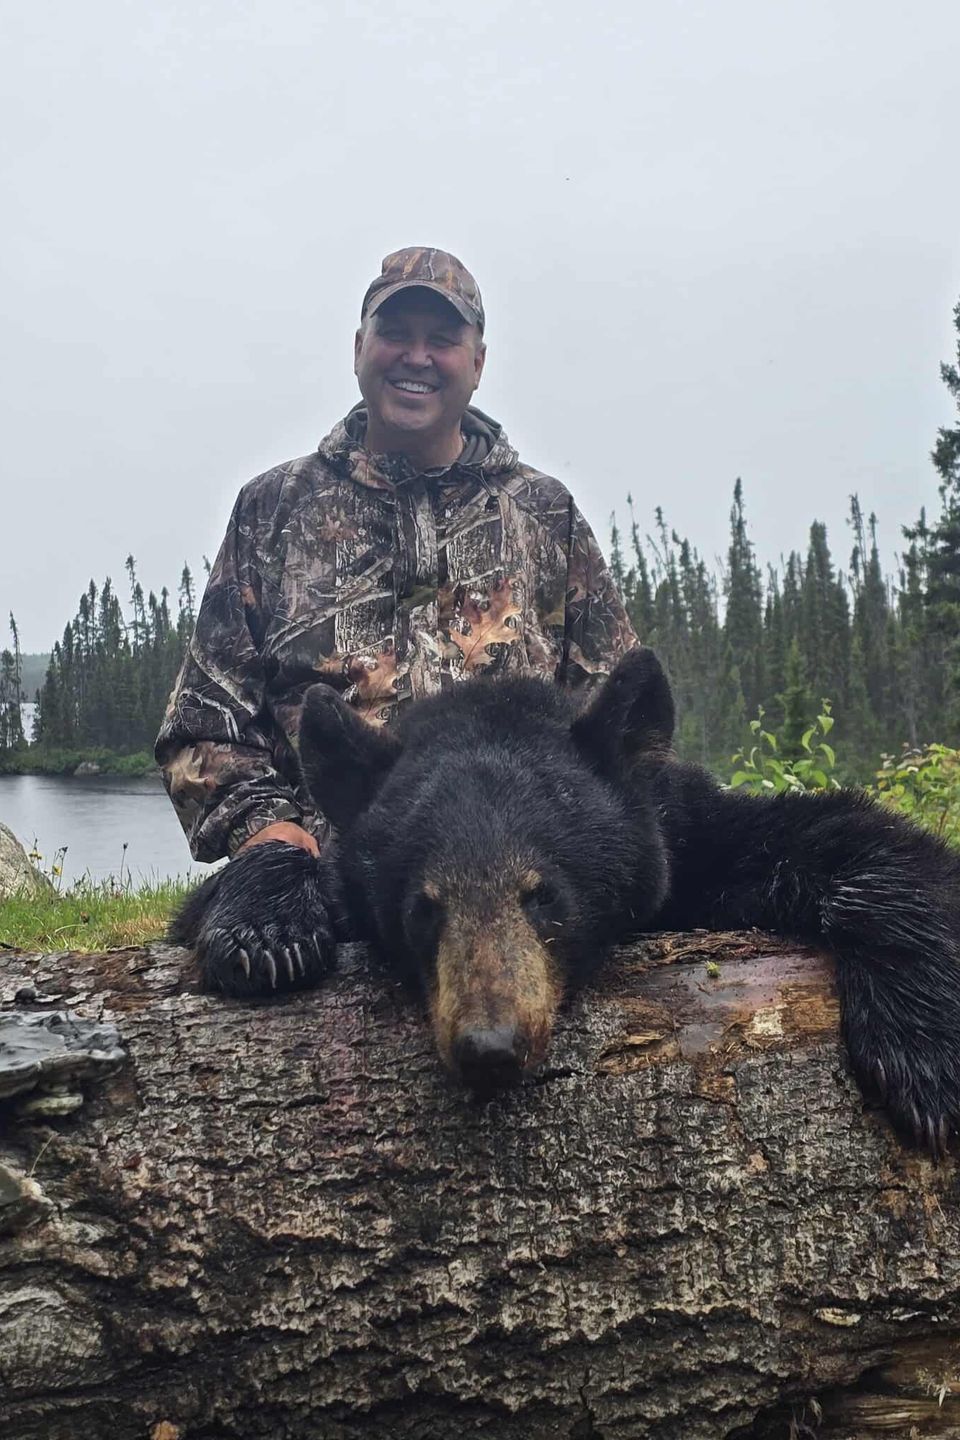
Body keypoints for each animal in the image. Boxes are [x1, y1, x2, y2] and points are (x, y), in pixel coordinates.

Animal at [170, 647, 960, 1155]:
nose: (490, 1047)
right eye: (424, 906)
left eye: (542, 893)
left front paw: (926, 1056)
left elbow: (848, 835)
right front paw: (265, 935)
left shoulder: (683, 837)